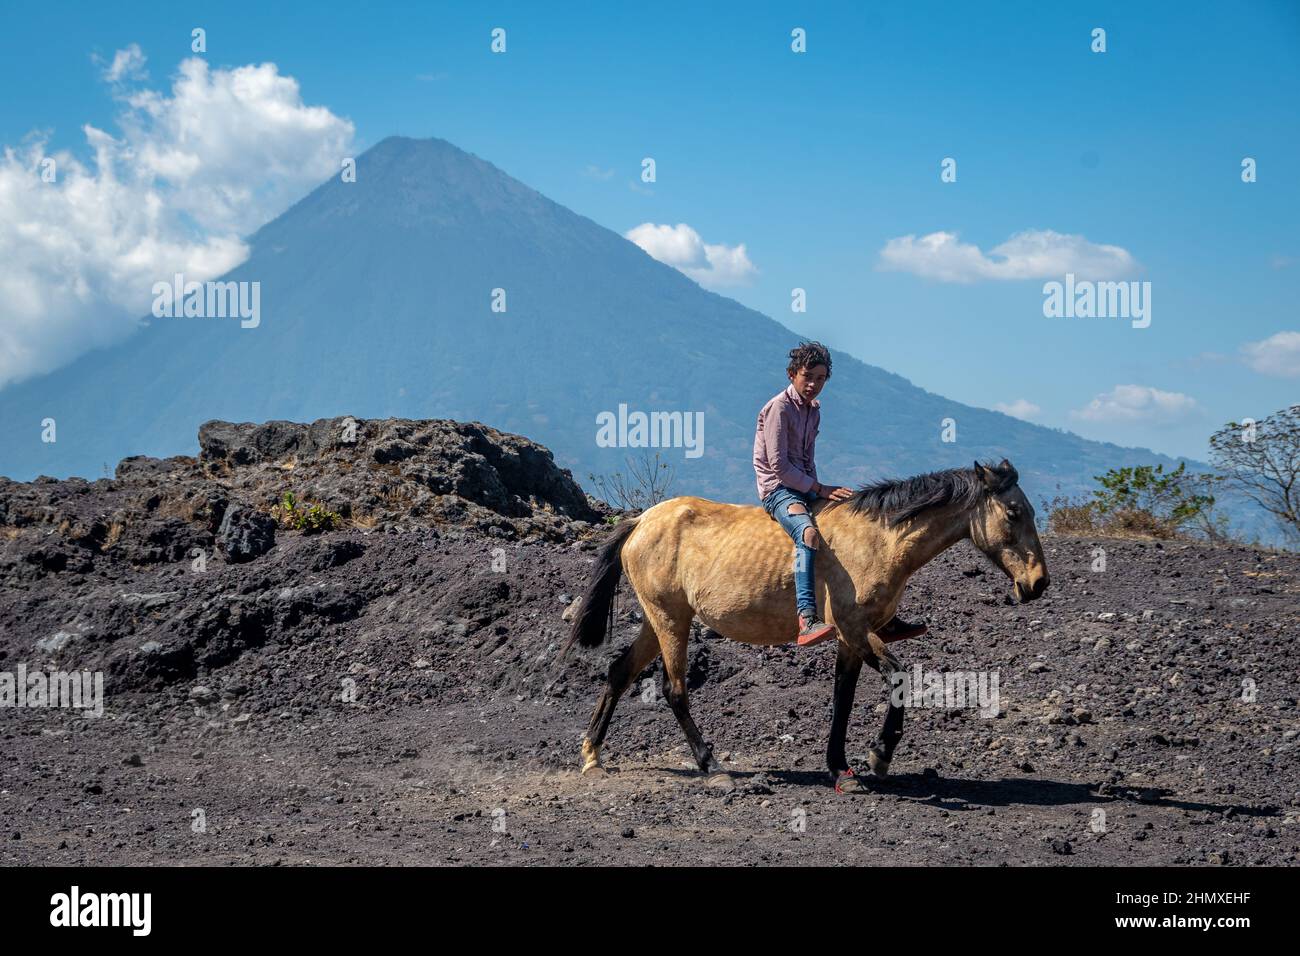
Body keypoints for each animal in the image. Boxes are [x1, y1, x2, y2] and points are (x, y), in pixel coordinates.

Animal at [564, 460, 1050, 790]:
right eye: (1012, 513)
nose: (1038, 582)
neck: (880, 539)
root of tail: (641, 520)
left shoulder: (852, 640)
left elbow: (842, 699)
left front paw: (842, 768)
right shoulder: (854, 629)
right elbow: (898, 679)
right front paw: (879, 756)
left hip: (659, 619)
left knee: (619, 673)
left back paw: (592, 756)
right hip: (670, 621)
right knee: (674, 690)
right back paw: (711, 766)